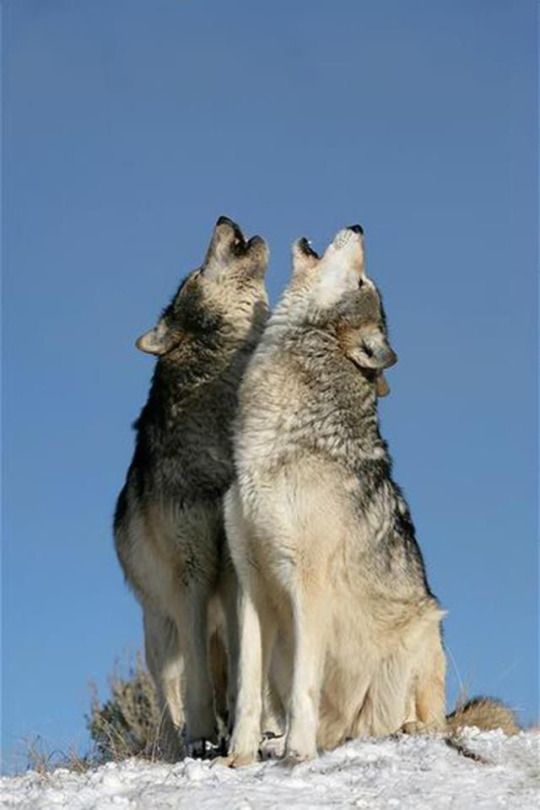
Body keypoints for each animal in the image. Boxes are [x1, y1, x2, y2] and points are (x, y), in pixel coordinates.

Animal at [113, 216, 268, 756]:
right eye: (196, 274)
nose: (225, 218)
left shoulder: (240, 570)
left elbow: (247, 664)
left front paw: (248, 731)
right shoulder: (191, 572)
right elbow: (197, 678)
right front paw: (202, 733)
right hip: (159, 630)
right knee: (167, 693)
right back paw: (173, 744)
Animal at [224, 227, 516, 764]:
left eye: (363, 280)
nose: (358, 227)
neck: (273, 439)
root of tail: (351, 731)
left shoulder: (309, 582)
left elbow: (304, 685)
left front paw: (297, 754)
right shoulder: (250, 584)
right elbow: (246, 691)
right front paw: (240, 757)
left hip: (423, 626)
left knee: (431, 719)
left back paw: (401, 730)